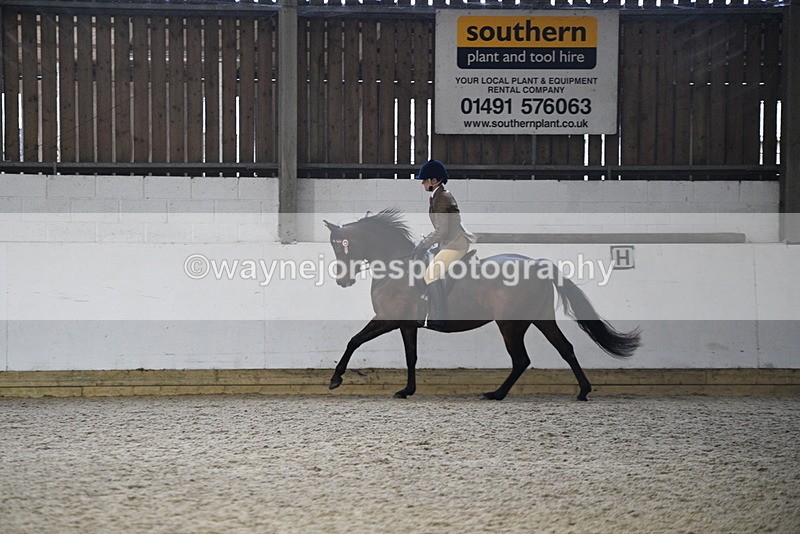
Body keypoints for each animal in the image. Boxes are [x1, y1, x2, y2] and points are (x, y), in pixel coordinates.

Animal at [323, 209, 640, 401]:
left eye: (342, 247)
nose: (342, 281)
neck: (395, 266)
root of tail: (538, 264)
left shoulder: (387, 318)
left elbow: (354, 341)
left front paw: (335, 379)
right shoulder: (405, 324)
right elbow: (410, 356)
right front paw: (407, 390)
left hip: (510, 325)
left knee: (521, 359)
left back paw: (496, 394)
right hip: (541, 318)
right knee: (565, 349)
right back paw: (583, 391)